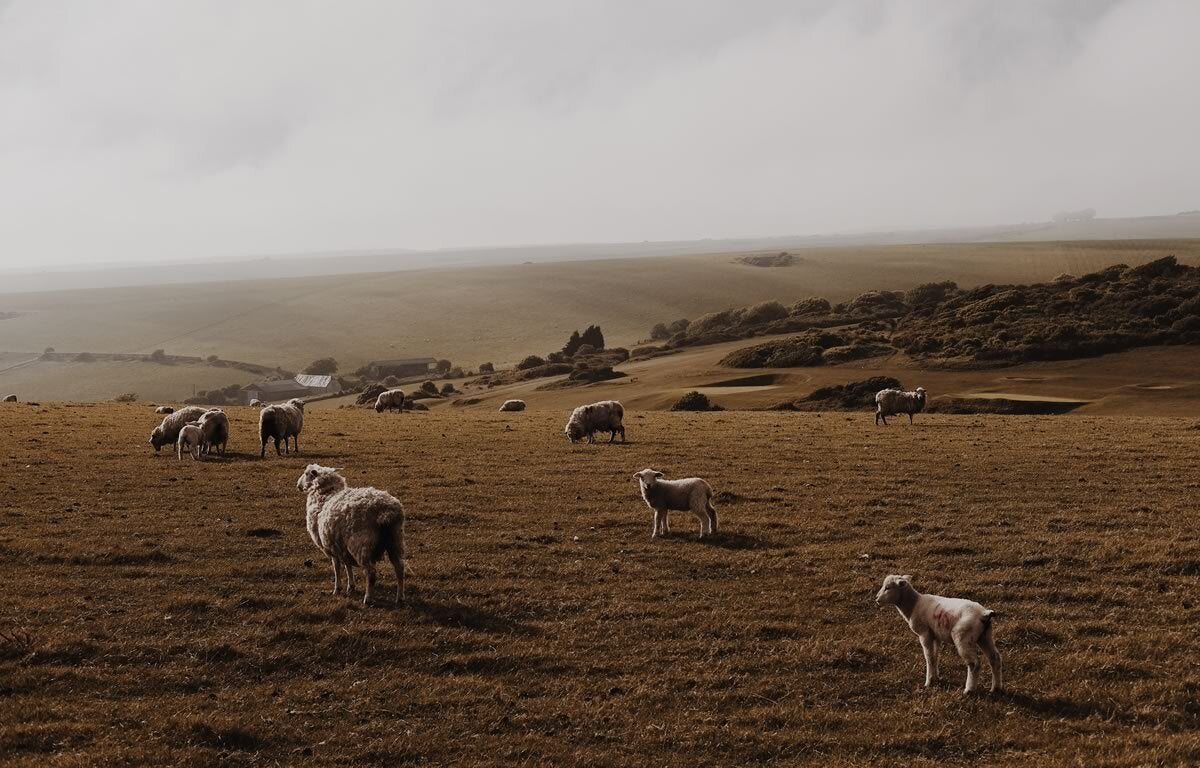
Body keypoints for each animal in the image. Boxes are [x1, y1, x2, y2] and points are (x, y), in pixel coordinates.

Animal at [298, 460, 408, 604]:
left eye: (306, 473)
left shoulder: (330, 545)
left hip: (361, 544)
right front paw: (351, 587)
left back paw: (368, 598)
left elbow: (337, 567)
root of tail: (385, 512)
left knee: (371, 573)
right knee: (399, 568)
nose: (298, 486)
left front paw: (337, 589)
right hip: (395, 540)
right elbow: (347, 565)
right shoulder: (341, 545)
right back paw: (400, 597)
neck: (325, 494)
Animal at [873, 576, 1003, 696]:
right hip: (985, 636)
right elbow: (935, 656)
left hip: (963, 637)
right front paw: (935, 678)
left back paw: (969, 690)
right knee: (995, 658)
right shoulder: (935, 635)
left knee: (974, 664)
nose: (876, 598)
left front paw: (928, 682)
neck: (913, 604)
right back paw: (995, 688)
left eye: (888, 588)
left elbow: (929, 657)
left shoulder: (924, 633)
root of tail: (984, 614)